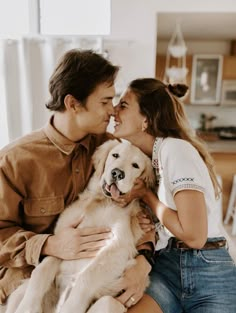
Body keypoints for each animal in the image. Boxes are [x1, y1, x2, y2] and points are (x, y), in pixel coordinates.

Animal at [4, 140, 155, 312]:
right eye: (115, 155)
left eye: (135, 165)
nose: (117, 173)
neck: (103, 201)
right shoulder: (64, 242)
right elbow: (41, 270)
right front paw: (28, 307)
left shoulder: (116, 250)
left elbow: (85, 277)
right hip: (18, 293)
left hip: (110, 303)